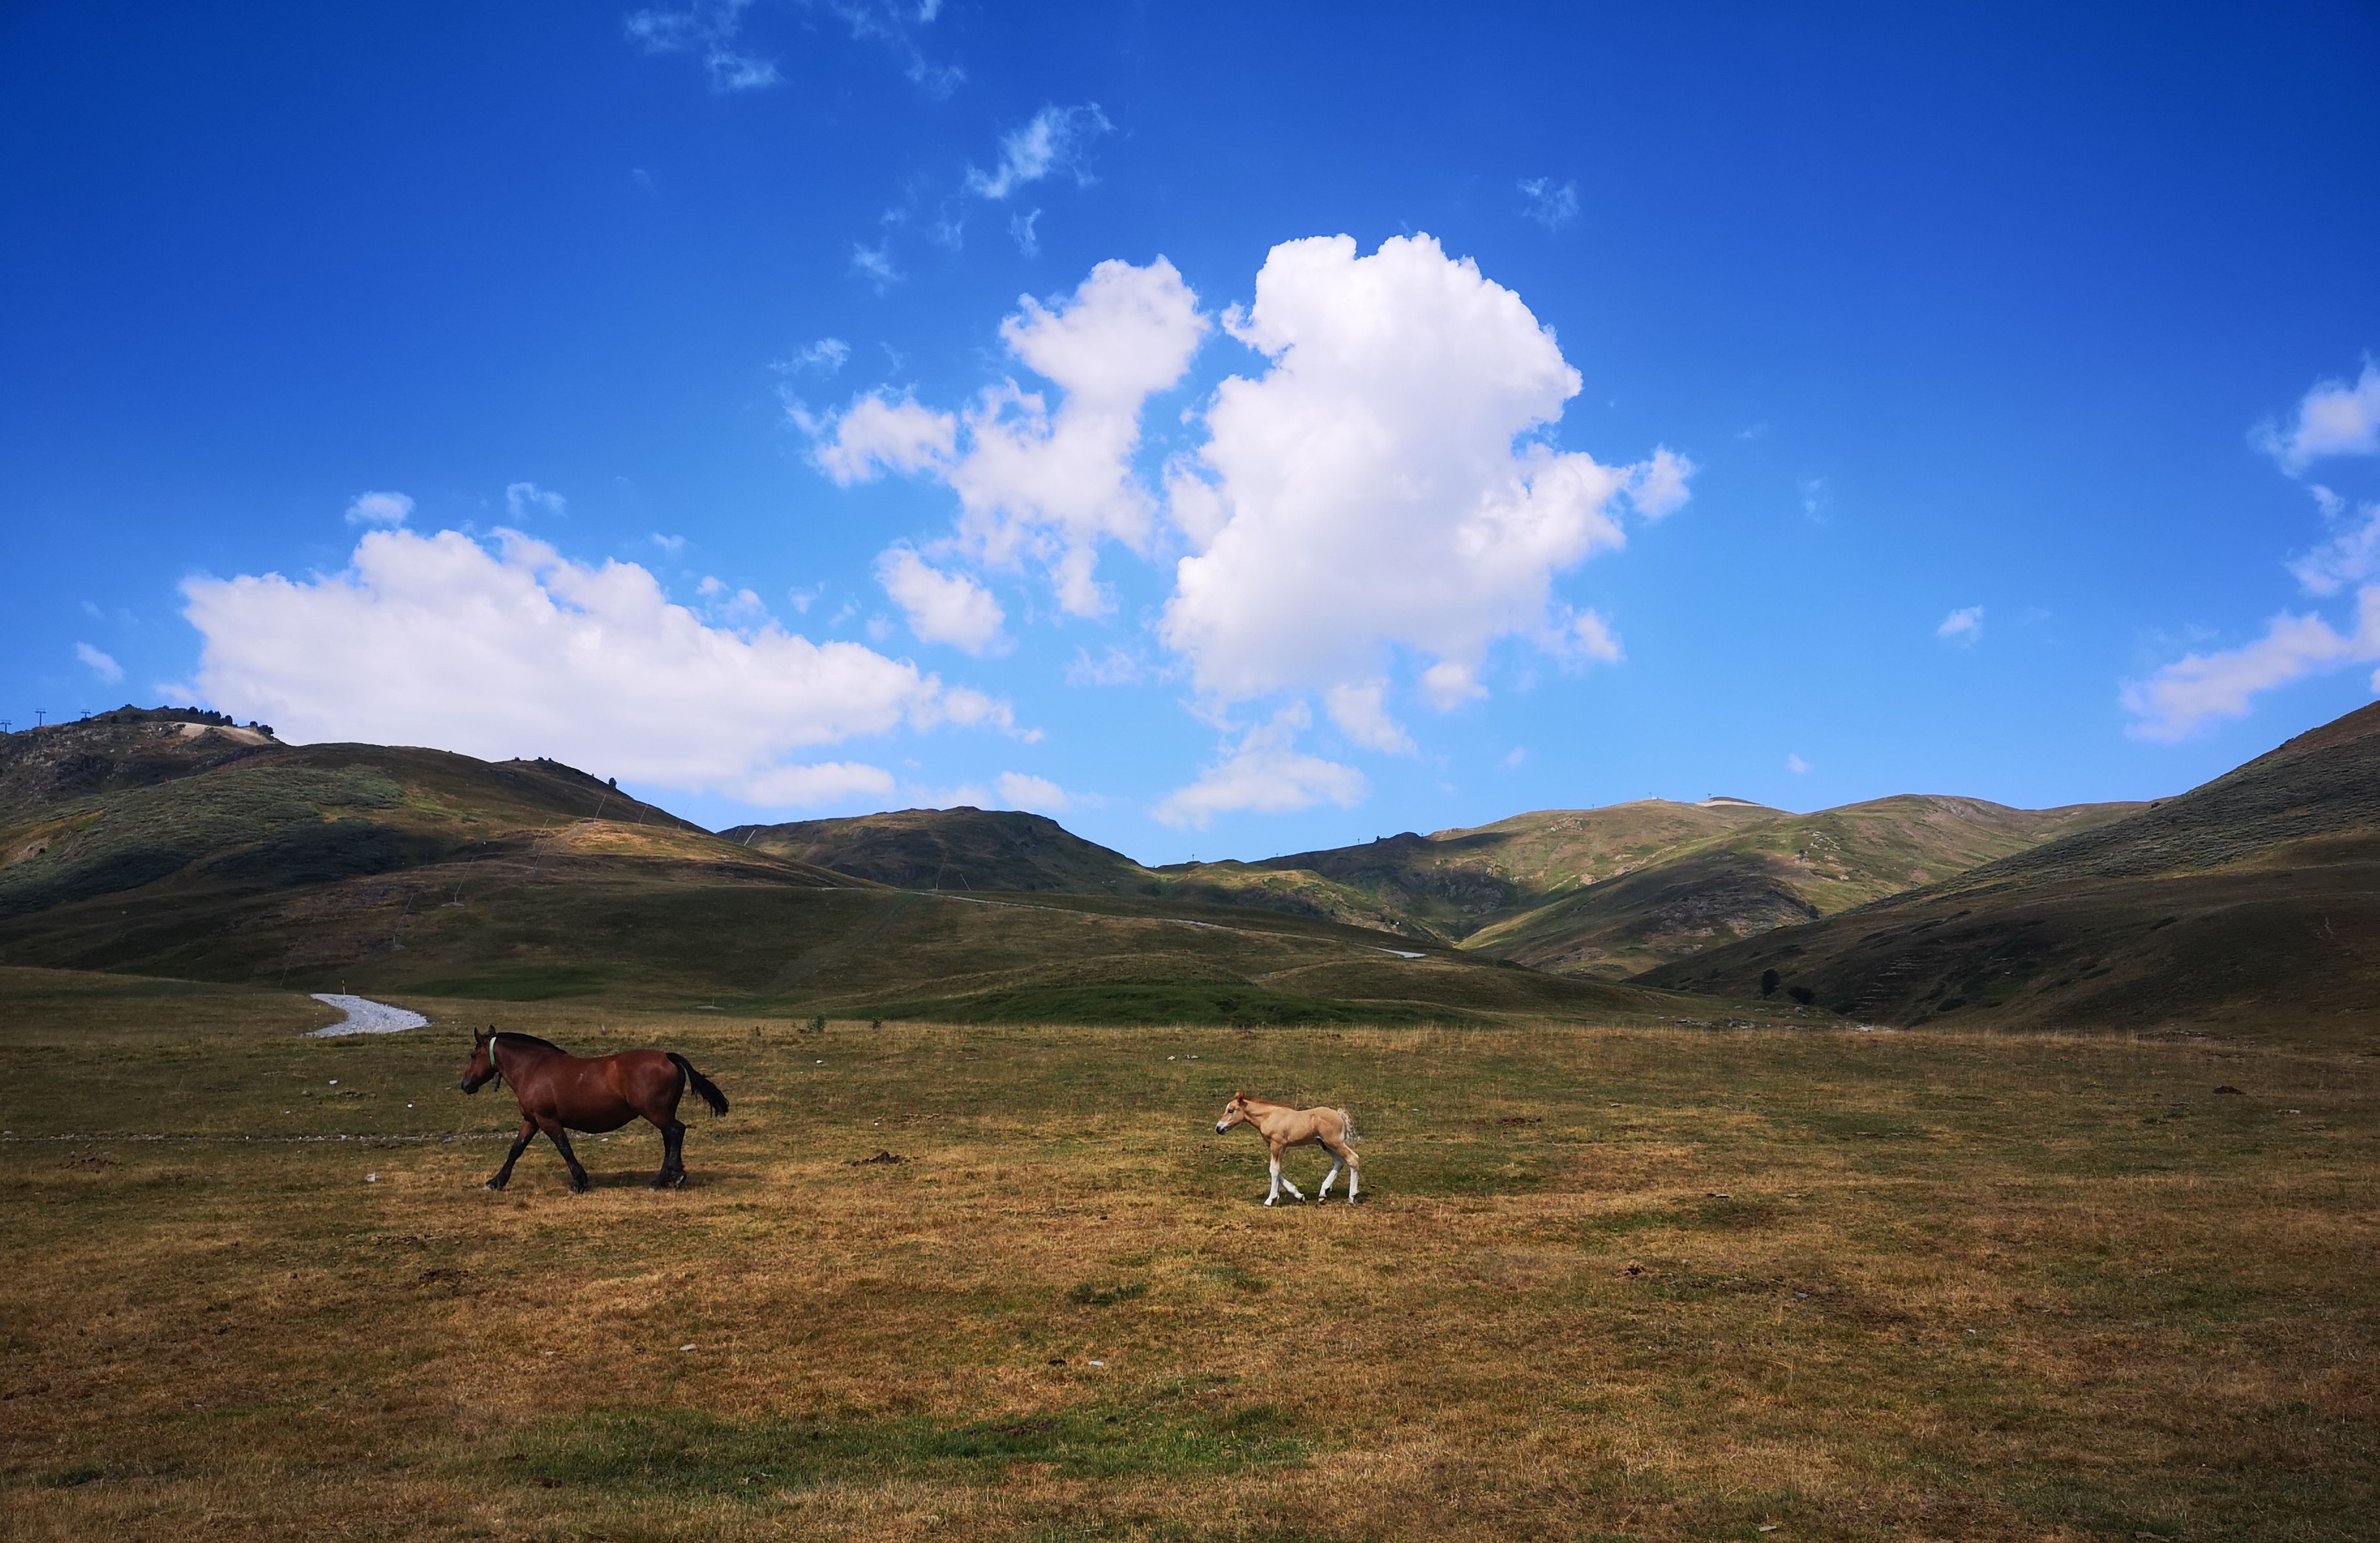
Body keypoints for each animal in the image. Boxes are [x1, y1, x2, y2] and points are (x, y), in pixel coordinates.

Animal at [457, 1024, 723, 1195]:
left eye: (472, 1055)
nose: (465, 1084)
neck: (533, 1068)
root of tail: (667, 1057)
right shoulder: (531, 1120)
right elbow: (516, 1150)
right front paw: (496, 1182)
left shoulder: (547, 1120)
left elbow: (564, 1148)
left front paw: (579, 1183)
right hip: (662, 1113)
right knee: (671, 1137)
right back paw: (671, 1177)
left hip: (656, 1113)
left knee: (675, 1132)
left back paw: (664, 1180)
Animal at [1218, 1086, 1371, 1204]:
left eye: (1231, 1110)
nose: (1219, 1128)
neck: (1269, 1117)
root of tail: (1339, 1114)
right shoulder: (1275, 1146)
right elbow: (1277, 1170)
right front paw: (1299, 1196)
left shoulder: (1278, 1145)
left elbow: (1274, 1170)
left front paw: (1270, 1200)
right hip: (1326, 1144)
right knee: (1339, 1161)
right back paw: (1323, 1193)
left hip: (1335, 1142)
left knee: (1353, 1158)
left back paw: (1352, 1196)